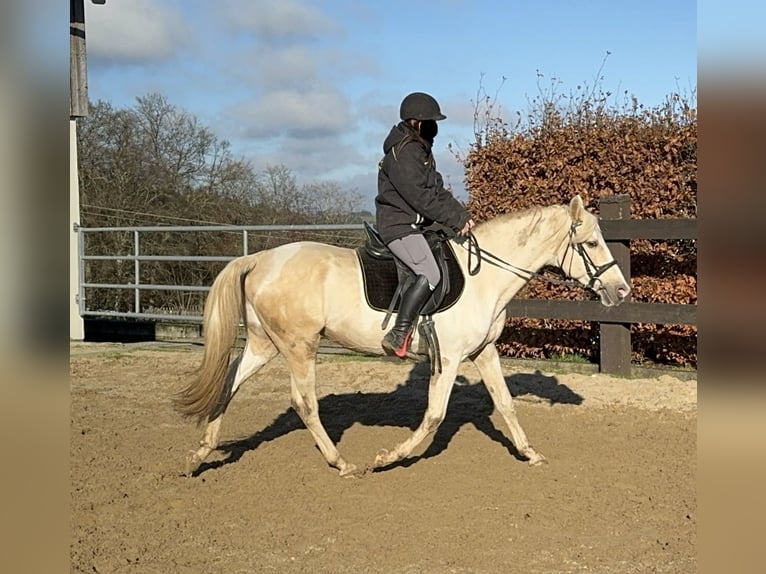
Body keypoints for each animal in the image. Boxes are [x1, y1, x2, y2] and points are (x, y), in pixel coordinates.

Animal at [177, 197, 632, 476]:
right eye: (592, 242)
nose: (622, 291)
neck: (485, 277)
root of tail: (259, 259)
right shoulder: (449, 358)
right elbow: (434, 415)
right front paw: (387, 458)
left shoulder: (484, 352)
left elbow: (505, 404)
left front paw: (530, 453)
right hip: (298, 346)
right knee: (304, 403)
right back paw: (341, 462)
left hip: (264, 344)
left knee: (229, 385)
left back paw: (198, 455)